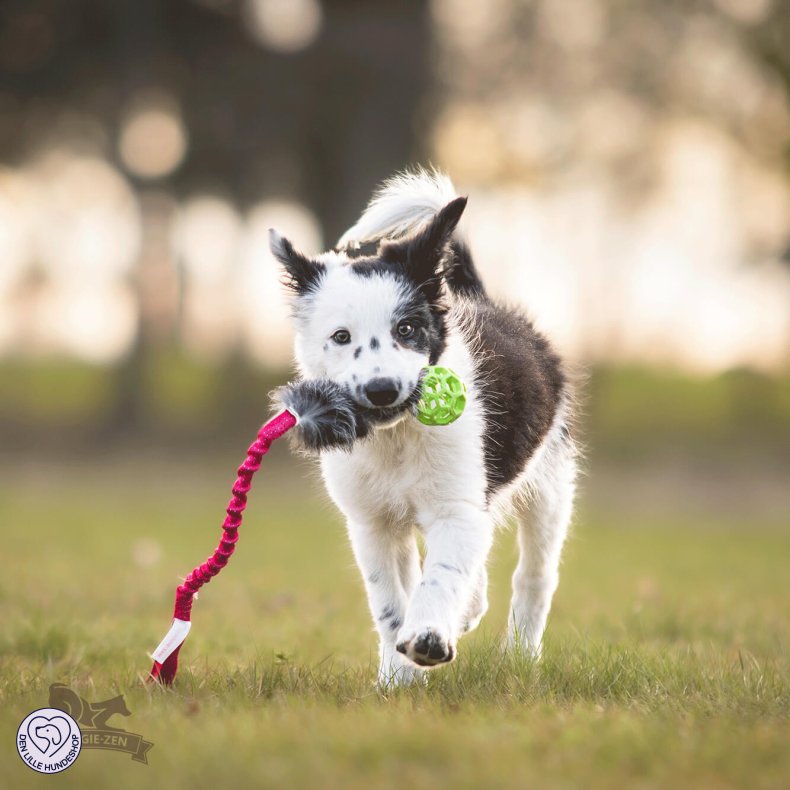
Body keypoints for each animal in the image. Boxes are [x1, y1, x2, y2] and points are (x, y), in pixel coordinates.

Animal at [270, 169, 576, 688]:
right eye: (341, 337)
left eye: (407, 329)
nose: (381, 390)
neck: (395, 439)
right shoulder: (372, 523)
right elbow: (390, 599)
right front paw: (399, 677)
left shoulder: (455, 506)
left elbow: (443, 573)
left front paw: (429, 638)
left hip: (550, 479)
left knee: (534, 576)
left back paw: (519, 655)